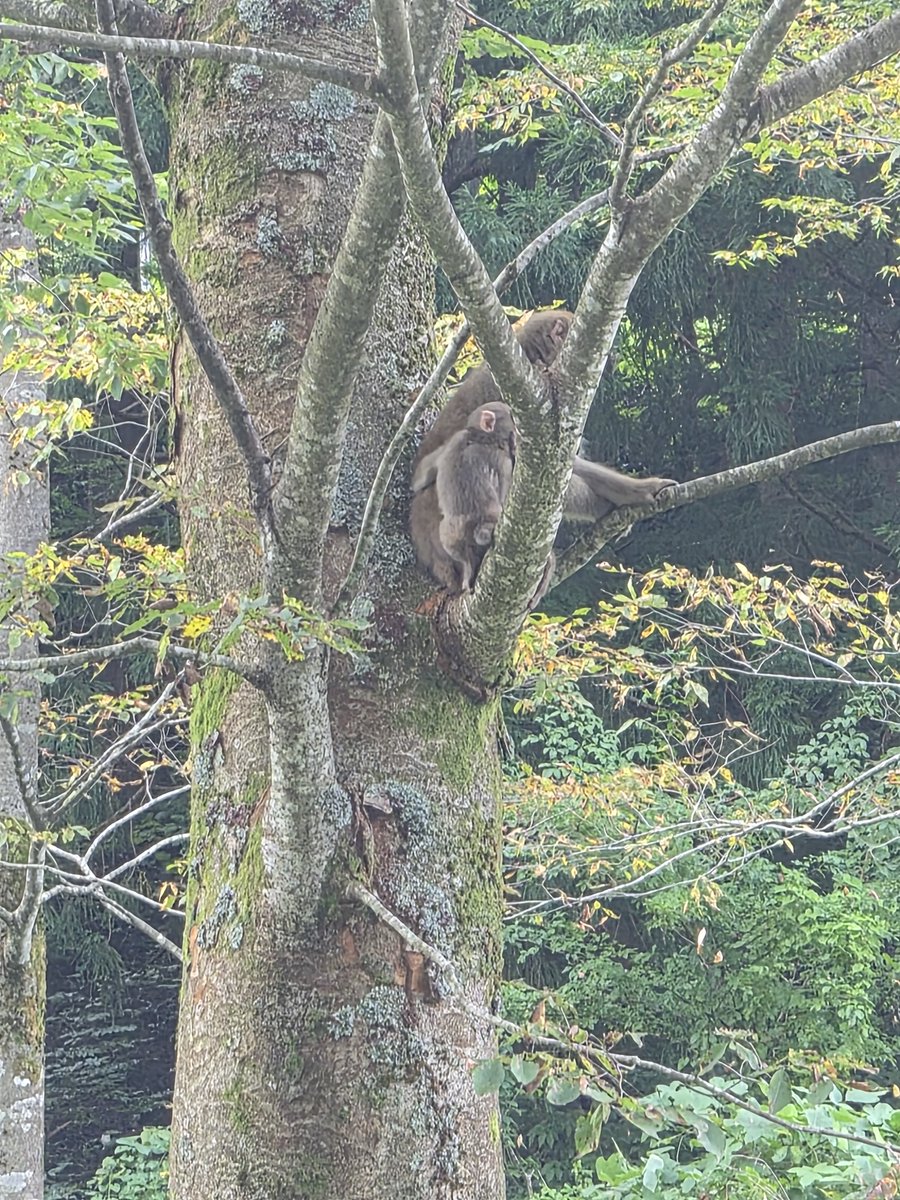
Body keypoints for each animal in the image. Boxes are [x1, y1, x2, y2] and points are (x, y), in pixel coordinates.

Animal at [412, 402, 516, 592]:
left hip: (450, 534)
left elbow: (423, 470)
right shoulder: (503, 461)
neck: (481, 437)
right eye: (511, 416)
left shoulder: (457, 437)